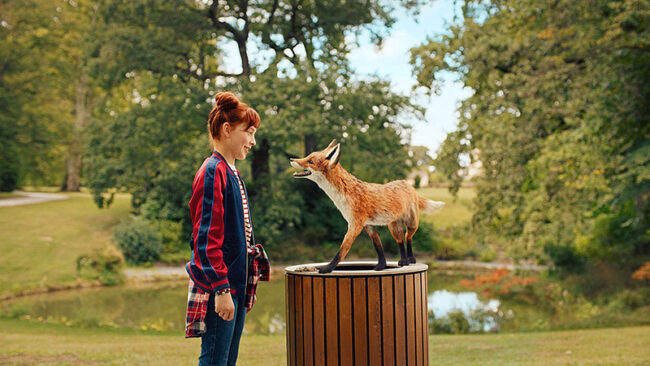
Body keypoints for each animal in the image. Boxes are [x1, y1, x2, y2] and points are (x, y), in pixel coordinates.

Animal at [290, 139, 446, 272]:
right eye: (308, 156)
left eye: (310, 161)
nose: (291, 159)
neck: (345, 194)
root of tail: (407, 183)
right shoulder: (368, 225)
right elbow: (378, 248)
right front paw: (381, 266)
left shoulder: (355, 225)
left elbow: (341, 252)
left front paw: (327, 268)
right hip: (393, 227)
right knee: (400, 241)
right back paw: (404, 261)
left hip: (412, 223)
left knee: (408, 237)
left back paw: (411, 259)